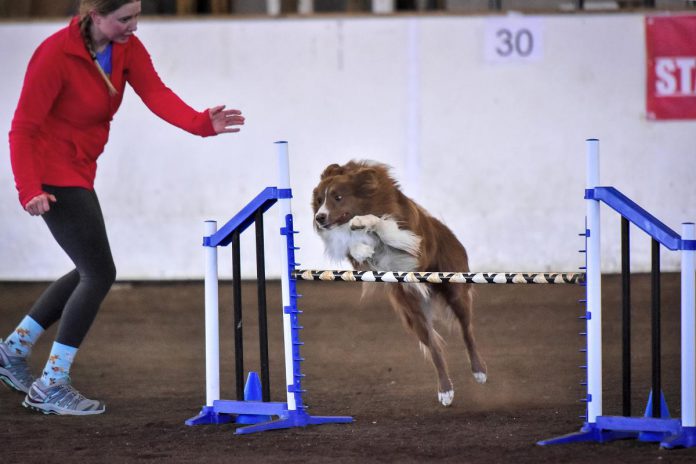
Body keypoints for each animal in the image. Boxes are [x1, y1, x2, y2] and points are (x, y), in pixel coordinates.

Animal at [312, 160, 486, 406]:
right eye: (319, 200)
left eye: (337, 197)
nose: (319, 217)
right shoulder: (361, 264)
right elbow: (353, 247)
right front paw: (361, 247)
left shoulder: (411, 241)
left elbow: (381, 224)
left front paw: (363, 222)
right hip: (411, 309)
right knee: (434, 348)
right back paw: (445, 391)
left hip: (455, 289)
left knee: (467, 331)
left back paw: (479, 371)